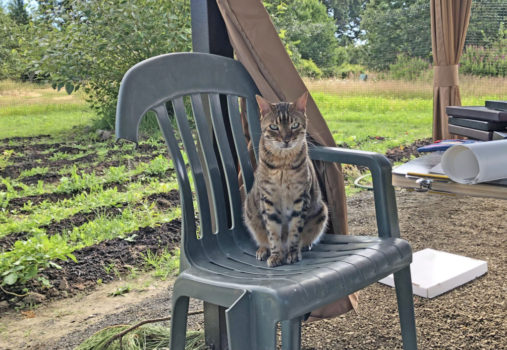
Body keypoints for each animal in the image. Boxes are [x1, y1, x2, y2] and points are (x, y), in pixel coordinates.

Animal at [243, 91, 330, 266]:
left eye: (294, 125)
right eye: (274, 127)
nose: (286, 139)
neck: (283, 164)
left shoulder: (300, 198)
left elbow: (295, 231)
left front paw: (292, 253)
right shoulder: (268, 199)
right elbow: (272, 232)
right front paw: (276, 255)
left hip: (321, 211)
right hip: (250, 209)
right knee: (263, 238)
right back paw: (263, 250)